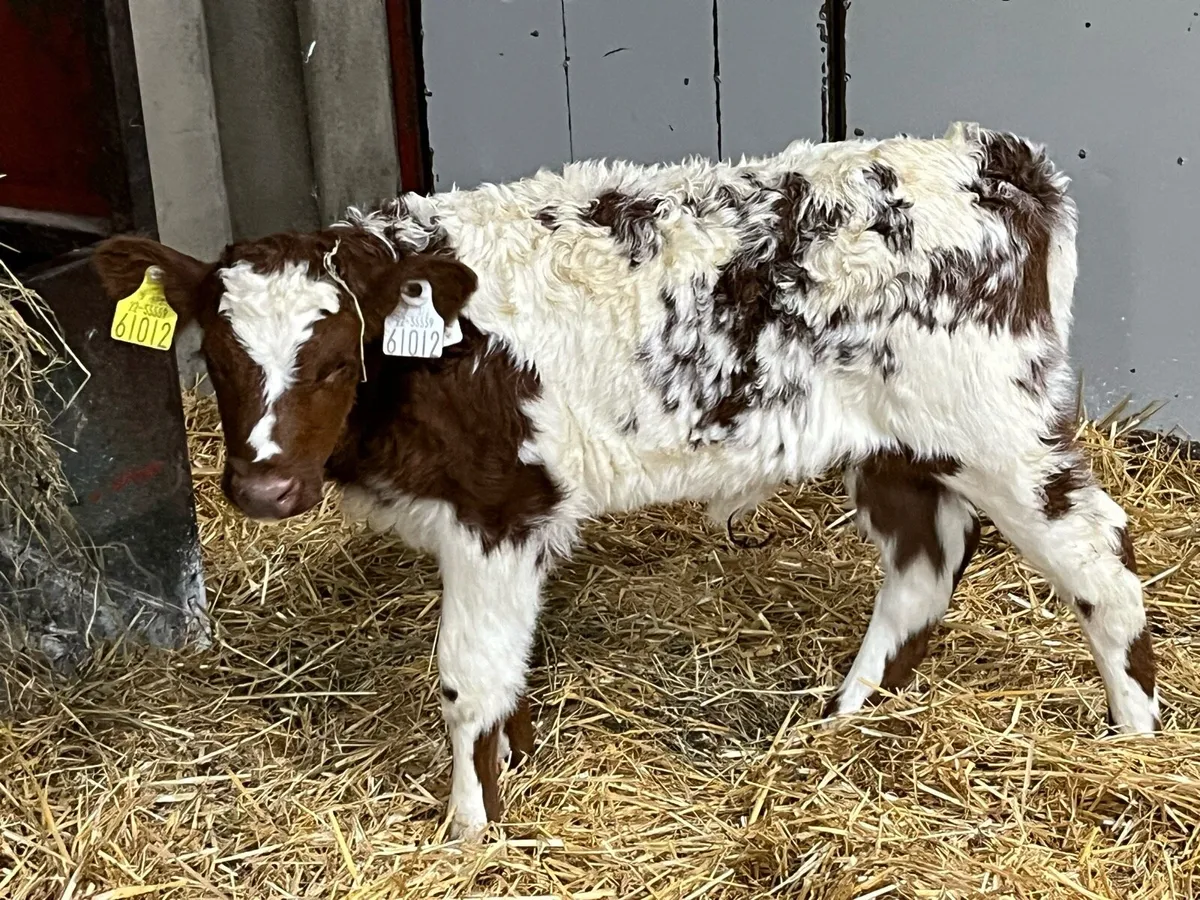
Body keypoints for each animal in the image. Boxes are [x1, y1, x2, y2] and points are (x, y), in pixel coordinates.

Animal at [92, 122, 1160, 840]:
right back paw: (848, 716)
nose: (263, 490)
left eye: (328, 361)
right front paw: (512, 769)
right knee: (924, 561)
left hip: (998, 428)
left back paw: (1137, 740)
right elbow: (507, 673)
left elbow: (467, 679)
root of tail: (993, 157)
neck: (432, 353)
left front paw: (470, 832)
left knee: (1098, 557)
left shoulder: (498, 510)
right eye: (216, 358)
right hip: (902, 441)